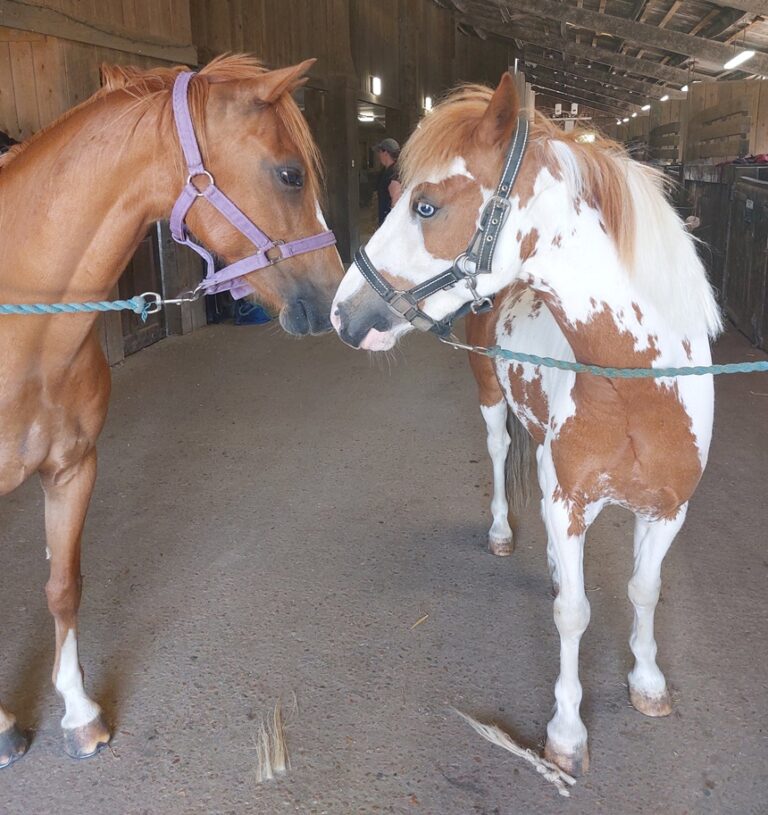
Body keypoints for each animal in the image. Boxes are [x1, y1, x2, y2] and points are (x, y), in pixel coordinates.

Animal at [0, 54, 343, 766]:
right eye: (290, 174)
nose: (332, 298)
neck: (21, 328)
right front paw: (2, 727)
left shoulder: (73, 469)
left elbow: (63, 587)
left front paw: (80, 714)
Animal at [331, 73, 721, 775]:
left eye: (425, 206)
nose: (343, 314)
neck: (638, 392)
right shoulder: (568, 501)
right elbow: (574, 612)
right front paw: (565, 735)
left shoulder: (668, 509)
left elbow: (643, 590)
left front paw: (648, 682)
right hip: (493, 403)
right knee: (495, 453)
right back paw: (503, 533)